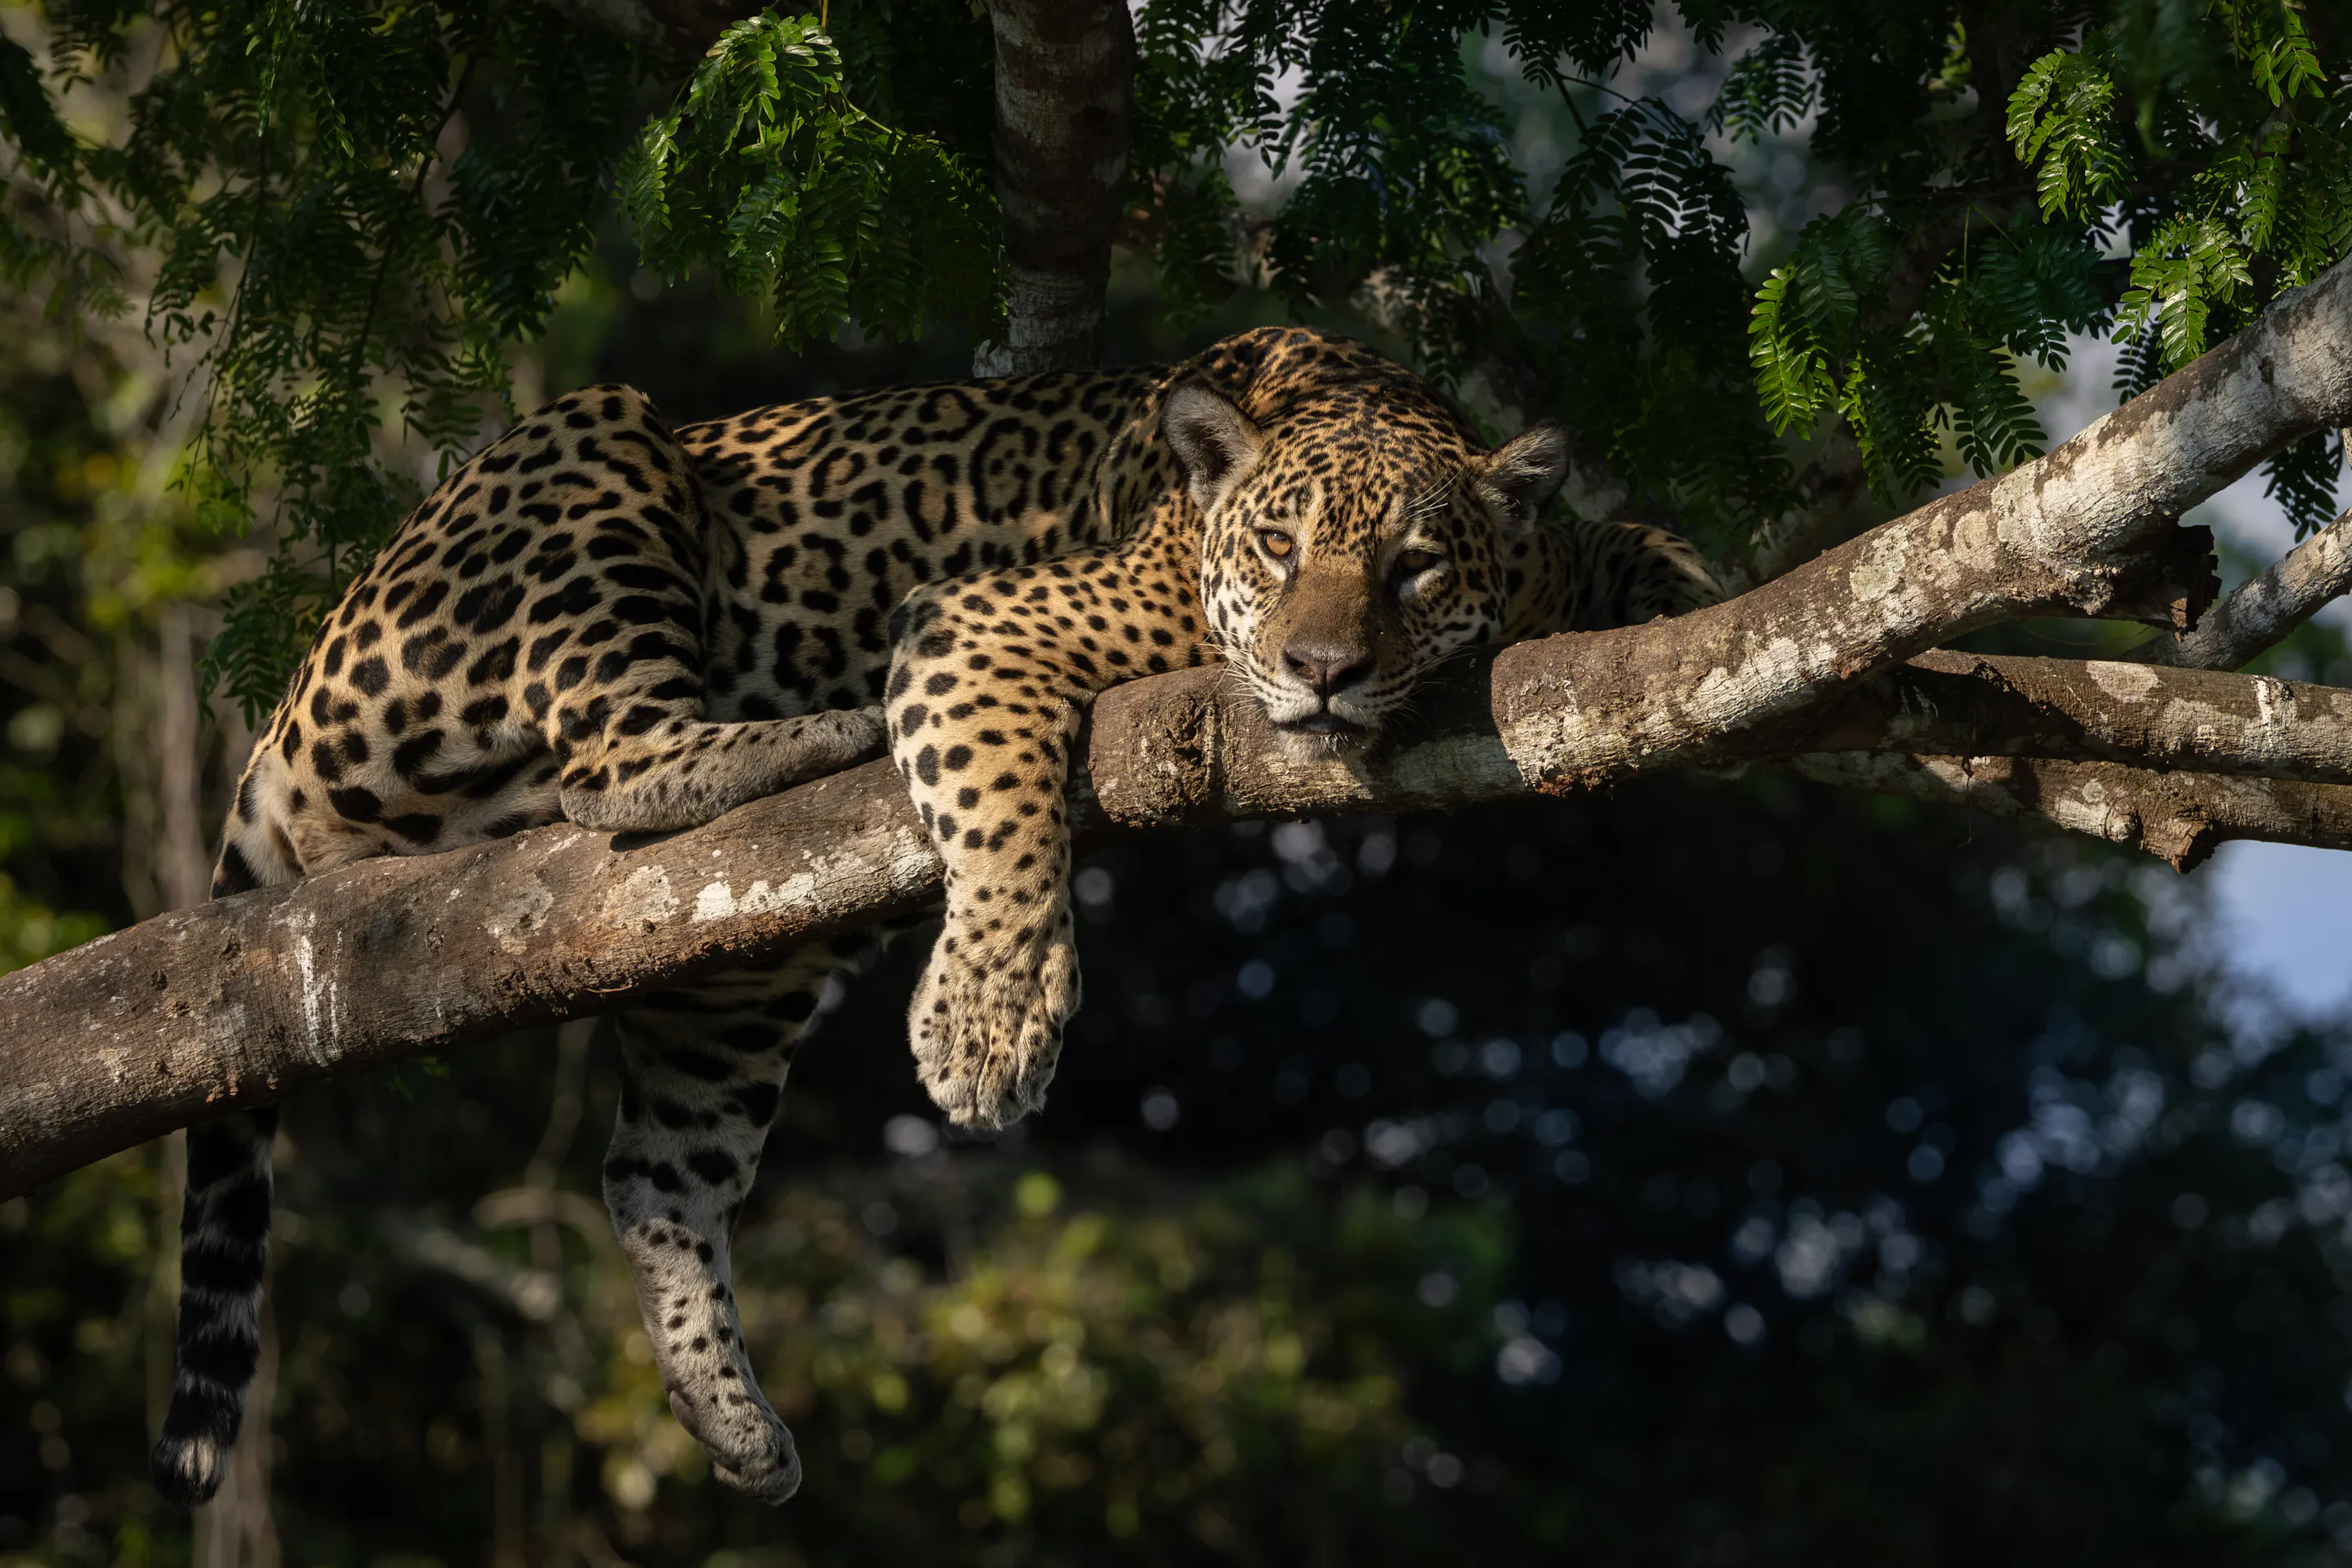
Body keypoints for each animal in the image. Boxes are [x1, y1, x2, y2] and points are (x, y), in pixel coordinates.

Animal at [152, 324, 1717, 1513]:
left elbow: (1652, 550)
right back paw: (804, 734)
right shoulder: (986, 624)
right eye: (1276, 551)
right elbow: (1005, 807)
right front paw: (990, 1019)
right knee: (614, 755)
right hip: (595, 452)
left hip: (744, 970)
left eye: (1414, 567)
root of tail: (289, 696)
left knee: (655, 1172)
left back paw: (733, 1421)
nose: (1325, 670)